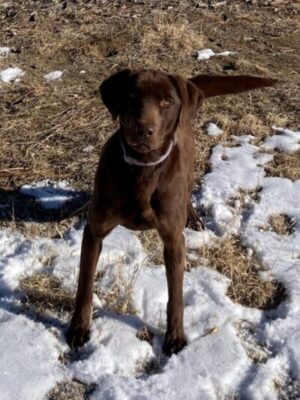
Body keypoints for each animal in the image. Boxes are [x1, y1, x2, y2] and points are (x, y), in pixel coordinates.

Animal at [67, 70, 276, 354]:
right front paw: (79, 327)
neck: (143, 170)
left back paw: (194, 218)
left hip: (188, 170)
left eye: (166, 101)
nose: (144, 130)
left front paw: (175, 336)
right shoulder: (94, 232)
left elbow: (175, 296)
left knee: (187, 192)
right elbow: (85, 285)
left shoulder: (174, 240)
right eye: (131, 95)